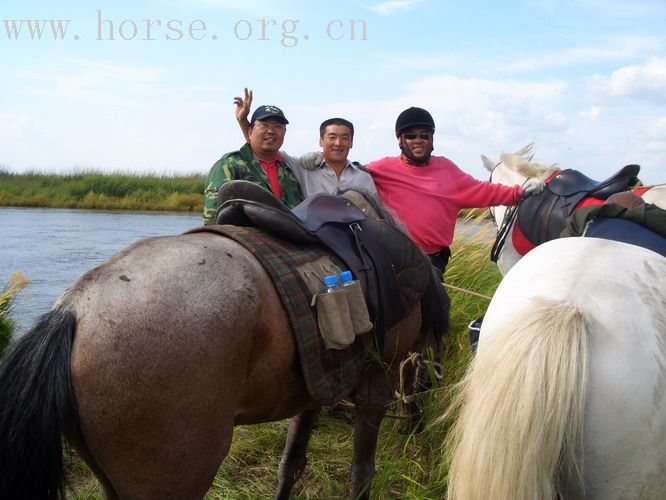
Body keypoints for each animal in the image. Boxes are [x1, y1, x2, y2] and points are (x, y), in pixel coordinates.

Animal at [0, 193, 448, 498]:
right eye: (429, 364)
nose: (416, 429)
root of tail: (73, 310)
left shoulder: (316, 387)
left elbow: (291, 464)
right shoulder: (375, 385)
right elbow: (362, 471)